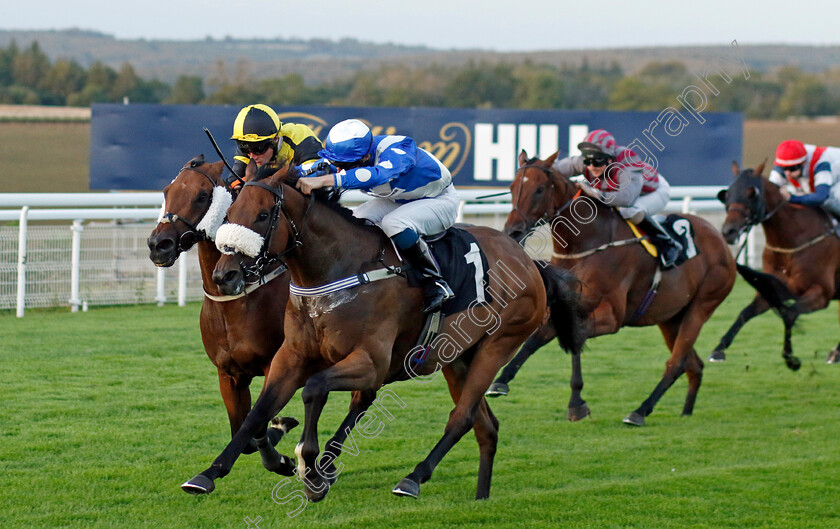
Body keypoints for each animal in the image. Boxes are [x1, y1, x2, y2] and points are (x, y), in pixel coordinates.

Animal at [147, 155, 296, 472]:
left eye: (202, 196)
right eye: (167, 192)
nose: (158, 245)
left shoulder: (274, 365)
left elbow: (256, 423)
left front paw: (280, 454)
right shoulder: (228, 374)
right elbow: (246, 433)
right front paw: (278, 437)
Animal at [177, 165, 584, 500]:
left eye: (263, 215)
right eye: (229, 215)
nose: (225, 275)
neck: (336, 269)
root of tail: (528, 261)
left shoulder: (371, 362)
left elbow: (314, 389)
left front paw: (310, 468)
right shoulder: (290, 356)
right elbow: (258, 412)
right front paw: (209, 472)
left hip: (497, 346)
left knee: (463, 417)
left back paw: (413, 478)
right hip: (456, 358)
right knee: (486, 425)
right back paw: (481, 495)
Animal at [496, 148, 740, 424]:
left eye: (539, 189)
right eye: (512, 186)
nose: (513, 231)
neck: (585, 243)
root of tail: (721, 241)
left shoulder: (612, 316)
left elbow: (571, 337)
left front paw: (576, 403)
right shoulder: (575, 305)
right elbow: (543, 337)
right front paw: (502, 381)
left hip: (701, 307)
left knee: (676, 363)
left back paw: (640, 411)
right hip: (670, 318)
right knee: (693, 364)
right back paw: (685, 412)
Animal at [712, 163, 840, 366]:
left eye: (752, 193)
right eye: (728, 193)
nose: (728, 231)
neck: (792, 241)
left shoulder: (822, 294)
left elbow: (789, 313)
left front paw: (789, 356)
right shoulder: (773, 288)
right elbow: (745, 312)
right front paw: (719, 349)